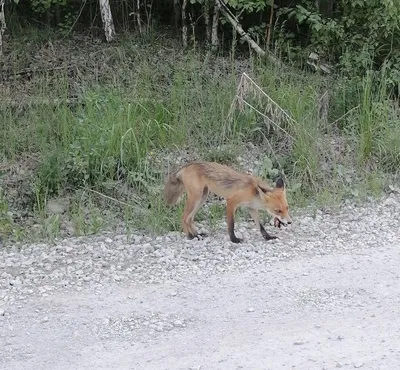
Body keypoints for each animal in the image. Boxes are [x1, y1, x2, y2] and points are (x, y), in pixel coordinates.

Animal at [164, 160, 292, 243]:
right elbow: (231, 224)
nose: (290, 222)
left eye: (287, 208)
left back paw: (197, 234)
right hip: (196, 198)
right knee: (184, 217)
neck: (253, 192)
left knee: (190, 218)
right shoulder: (231, 202)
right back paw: (190, 236)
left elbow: (260, 226)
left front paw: (268, 237)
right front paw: (234, 239)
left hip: (202, 197)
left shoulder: (251, 208)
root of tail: (186, 166)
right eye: (278, 211)